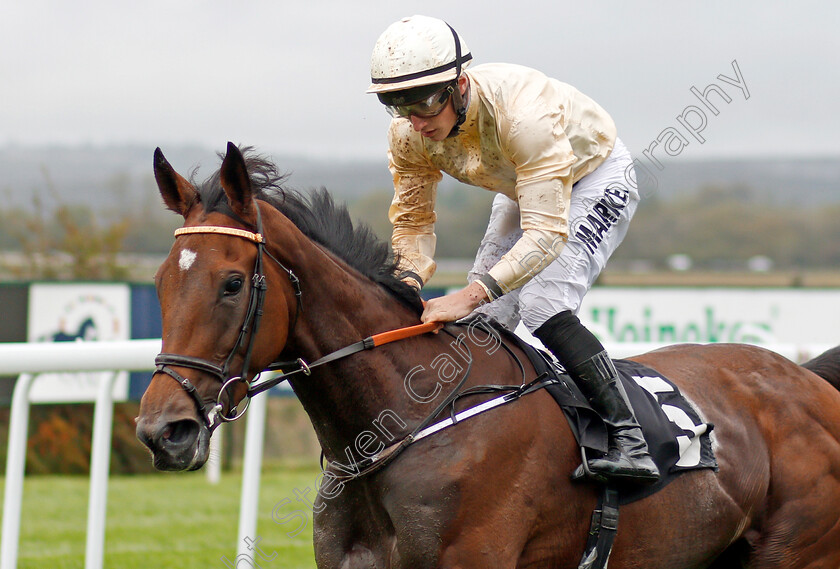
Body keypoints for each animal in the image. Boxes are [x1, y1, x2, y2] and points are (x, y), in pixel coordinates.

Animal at [136, 143, 840, 568]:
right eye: (162, 281)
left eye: (232, 283)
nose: (161, 431)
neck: (403, 421)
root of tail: (807, 381)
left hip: (795, 552)